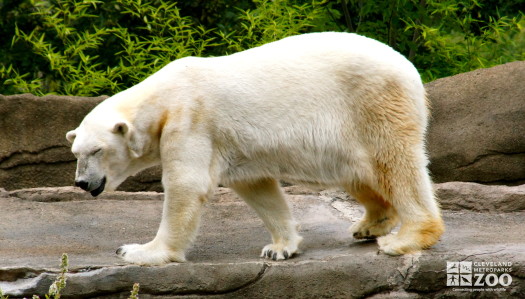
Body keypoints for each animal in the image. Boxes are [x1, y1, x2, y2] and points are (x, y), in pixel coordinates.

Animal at [64, 32, 442, 268]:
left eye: (96, 151)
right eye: (76, 153)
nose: (82, 183)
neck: (161, 99)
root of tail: (408, 68)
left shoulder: (190, 119)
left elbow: (186, 185)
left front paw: (139, 251)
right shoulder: (232, 144)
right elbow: (257, 187)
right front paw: (280, 248)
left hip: (373, 101)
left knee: (393, 163)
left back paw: (405, 238)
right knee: (357, 170)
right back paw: (369, 225)